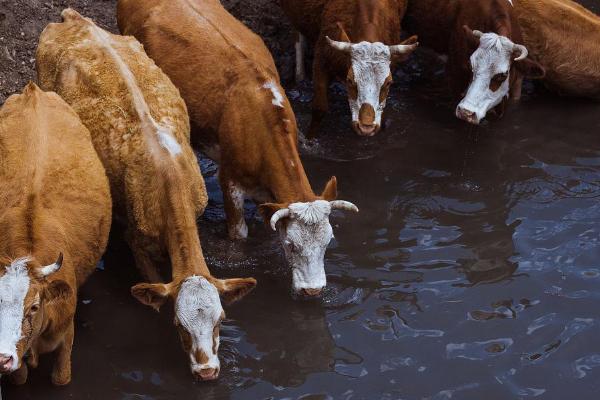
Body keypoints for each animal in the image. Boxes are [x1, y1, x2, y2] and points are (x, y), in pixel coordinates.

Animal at [0, 83, 112, 386]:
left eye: (34, 307)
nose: (2, 358)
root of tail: (33, 91)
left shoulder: (66, 333)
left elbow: (61, 379)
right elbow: (20, 377)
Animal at [35, 7, 255, 380]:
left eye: (221, 320)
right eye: (180, 326)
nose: (207, 371)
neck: (170, 178)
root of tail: (75, 19)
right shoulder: (136, 241)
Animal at [280, 0, 418, 138]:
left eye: (389, 83)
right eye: (350, 80)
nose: (366, 127)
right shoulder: (321, 59)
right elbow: (319, 108)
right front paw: (309, 137)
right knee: (297, 37)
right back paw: (300, 75)